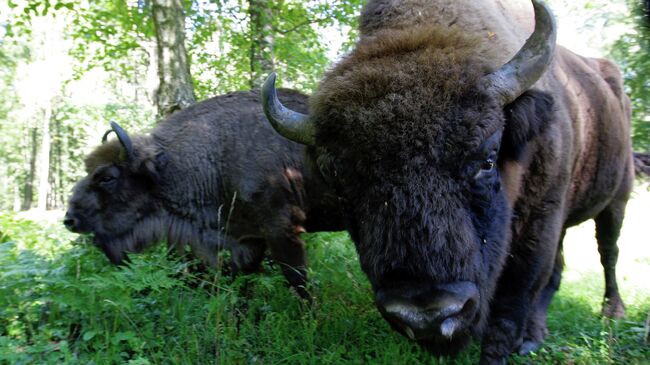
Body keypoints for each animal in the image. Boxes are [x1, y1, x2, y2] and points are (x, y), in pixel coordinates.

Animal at [63, 89, 342, 298]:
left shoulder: (282, 230)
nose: (70, 219)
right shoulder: (247, 239)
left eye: (107, 177)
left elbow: (298, 280)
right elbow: (244, 286)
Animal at [260, 0, 632, 362]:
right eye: (340, 180)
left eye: (487, 159)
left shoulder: (541, 222)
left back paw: (610, 313)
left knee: (608, 252)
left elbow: (512, 306)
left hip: (617, 200)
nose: (427, 315)